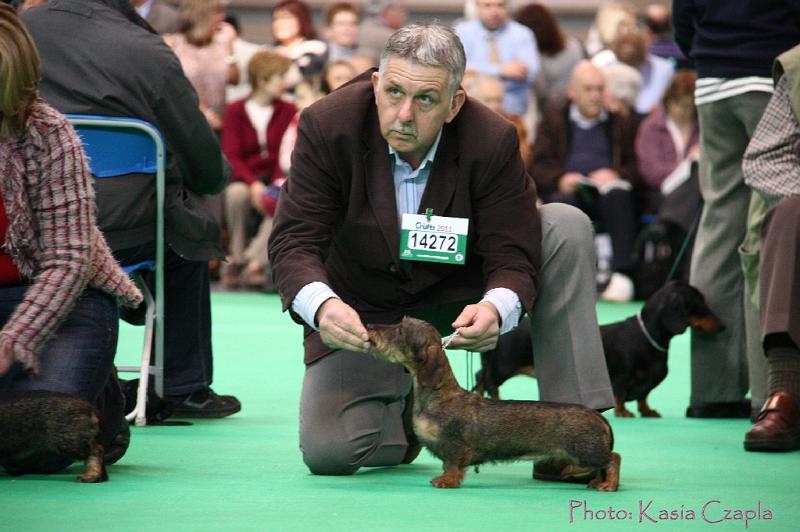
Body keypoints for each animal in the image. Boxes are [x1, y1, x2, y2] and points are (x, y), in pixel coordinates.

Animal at [476, 280, 724, 418]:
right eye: (700, 303)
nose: (723, 326)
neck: (648, 337)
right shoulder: (621, 377)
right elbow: (620, 395)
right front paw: (623, 412)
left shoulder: (646, 384)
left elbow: (644, 396)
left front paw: (647, 411)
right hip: (504, 366)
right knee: (488, 380)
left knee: (481, 379)